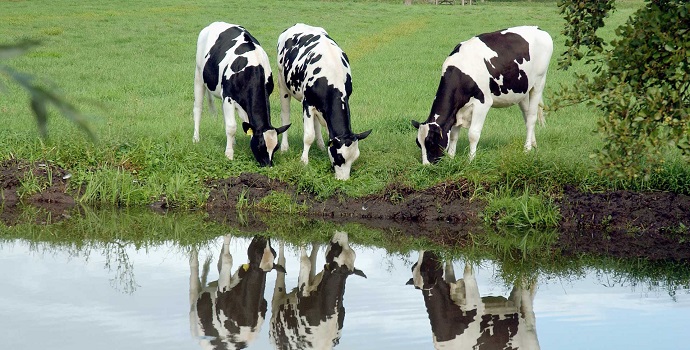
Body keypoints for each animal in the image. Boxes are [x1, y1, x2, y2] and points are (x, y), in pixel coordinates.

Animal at [192, 21, 288, 167]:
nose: (268, 166)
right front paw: (229, 155)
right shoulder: (228, 97)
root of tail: (214, 23)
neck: (252, 69)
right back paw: (196, 138)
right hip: (198, 75)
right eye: (260, 146)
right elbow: (231, 127)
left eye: (276, 147)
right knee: (198, 109)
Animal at [276, 23, 370, 180]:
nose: (343, 180)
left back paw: (319, 145)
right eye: (339, 157)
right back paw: (284, 147)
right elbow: (308, 136)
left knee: (316, 123)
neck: (331, 77)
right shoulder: (307, 104)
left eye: (355, 158)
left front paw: (322, 148)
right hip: (282, 83)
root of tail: (297, 24)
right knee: (285, 115)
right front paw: (304, 161)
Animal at [406, 250, 540, 348]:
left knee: (528, 311)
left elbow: (467, 271)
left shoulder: (474, 303)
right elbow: (449, 266)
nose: (425, 250)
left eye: (425, 267)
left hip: (530, 335)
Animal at [412, 25, 552, 165]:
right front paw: (451, 158)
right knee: (527, 116)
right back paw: (533, 145)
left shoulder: (482, 103)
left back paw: (527, 149)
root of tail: (538, 29)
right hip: (523, 91)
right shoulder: (458, 110)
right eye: (419, 144)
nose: (426, 166)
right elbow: (453, 136)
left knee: (532, 118)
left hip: (539, 82)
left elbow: (473, 134)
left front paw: (471, 159)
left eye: (431, 143)